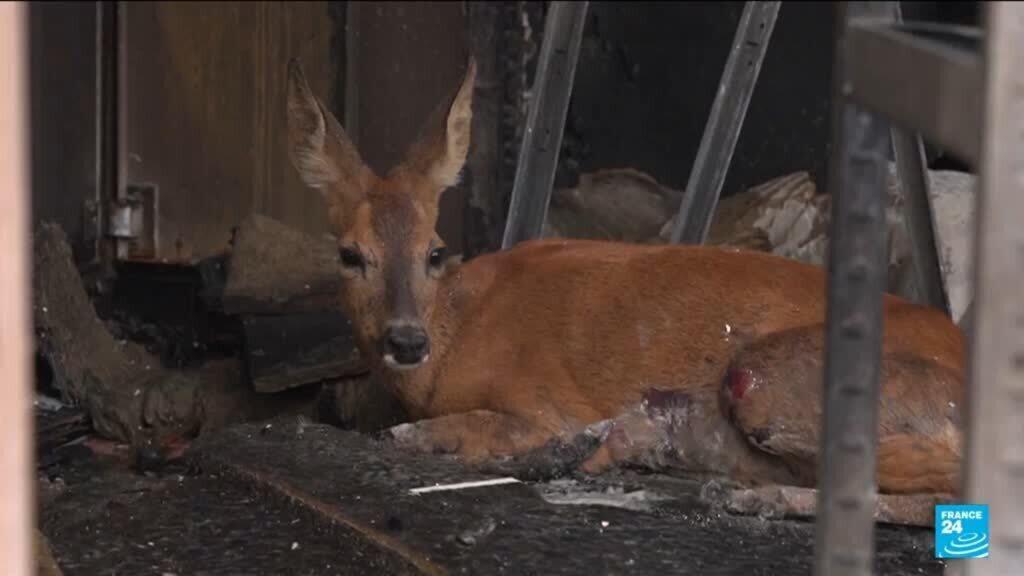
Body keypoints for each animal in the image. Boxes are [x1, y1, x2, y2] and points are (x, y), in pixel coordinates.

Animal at [285, 57, 965, 523]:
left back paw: (755, 492)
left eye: (434, 251)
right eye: (350, 255)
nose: (406, 341)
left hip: (769, 376)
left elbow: (437, 433)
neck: (453, 341)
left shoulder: (542, 399)